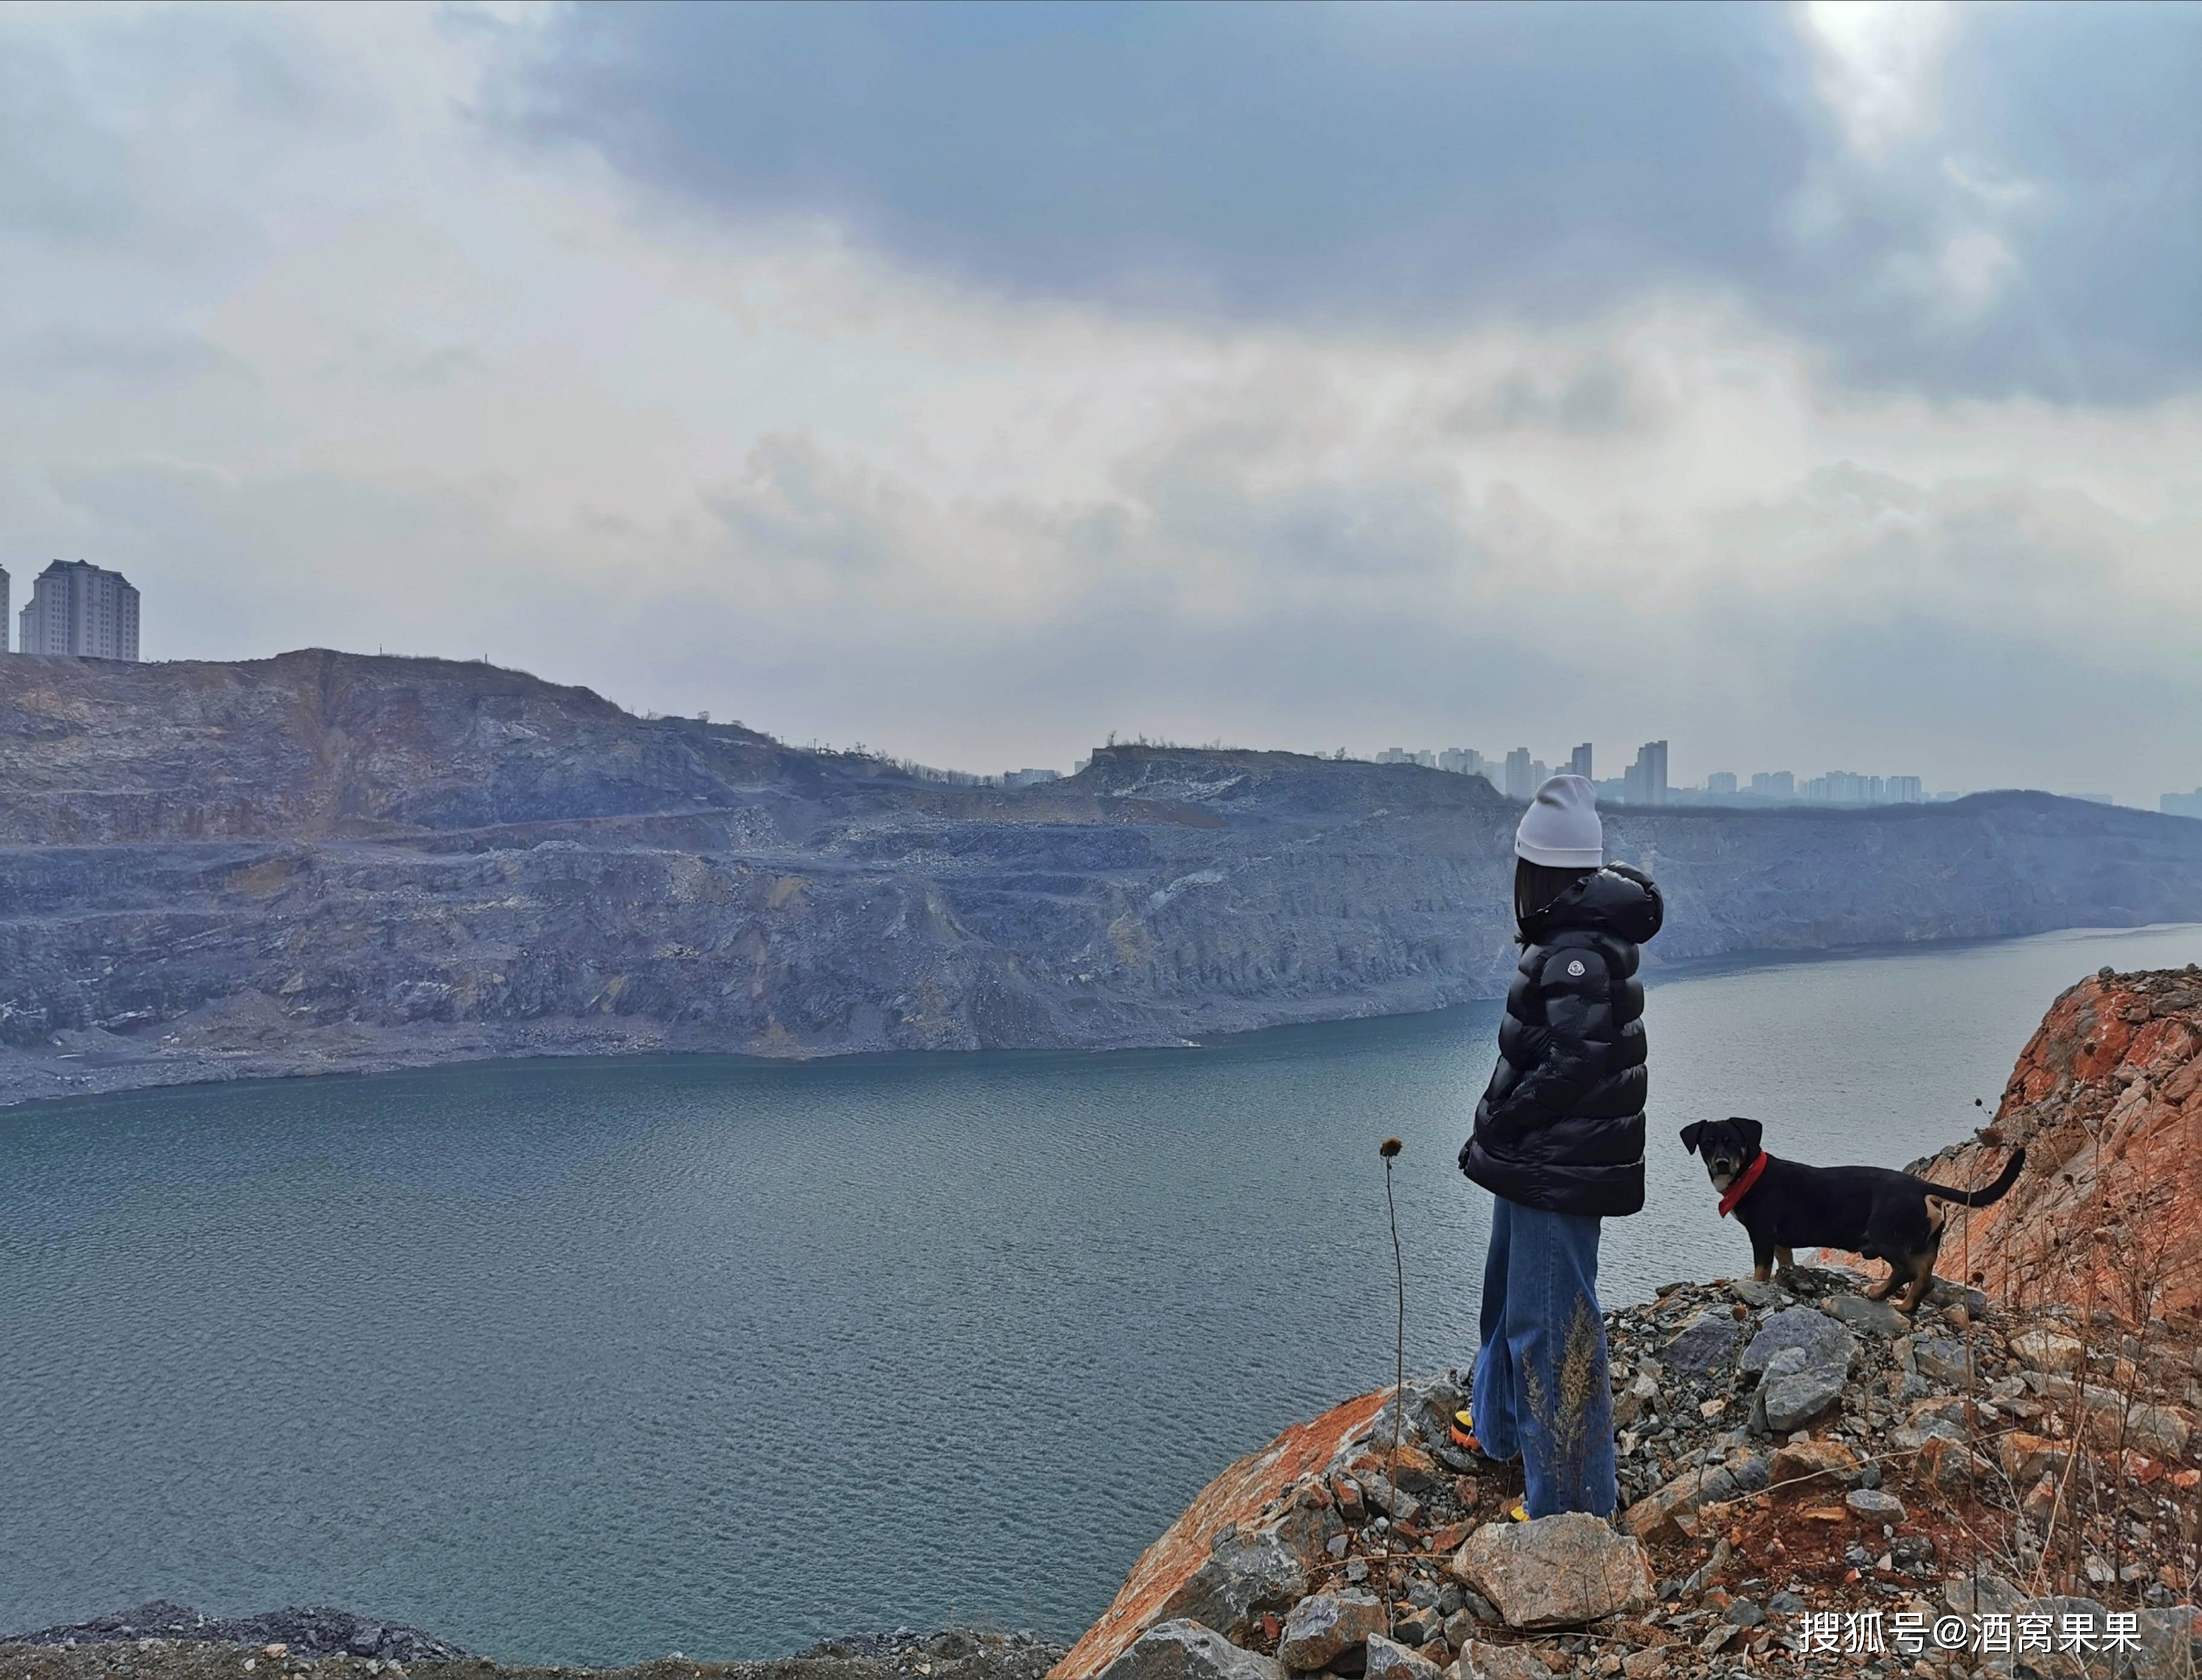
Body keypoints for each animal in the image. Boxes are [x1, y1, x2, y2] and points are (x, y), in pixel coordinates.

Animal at [1682, 1118, 2026, 1312]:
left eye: (1734, 1142)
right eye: (1708, 1143)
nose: (1722, 1163)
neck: (1750, 1173)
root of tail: (1922, 1186)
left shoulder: (1763, 1235)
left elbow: (1760, 1271)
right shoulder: (1780, 1242)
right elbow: (1785, 1262)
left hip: (1884, 1234)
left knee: (1905, 1271)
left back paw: (1877, 1293)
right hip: (1927, 1246)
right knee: (1924, 1281)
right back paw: (1905, 1306)